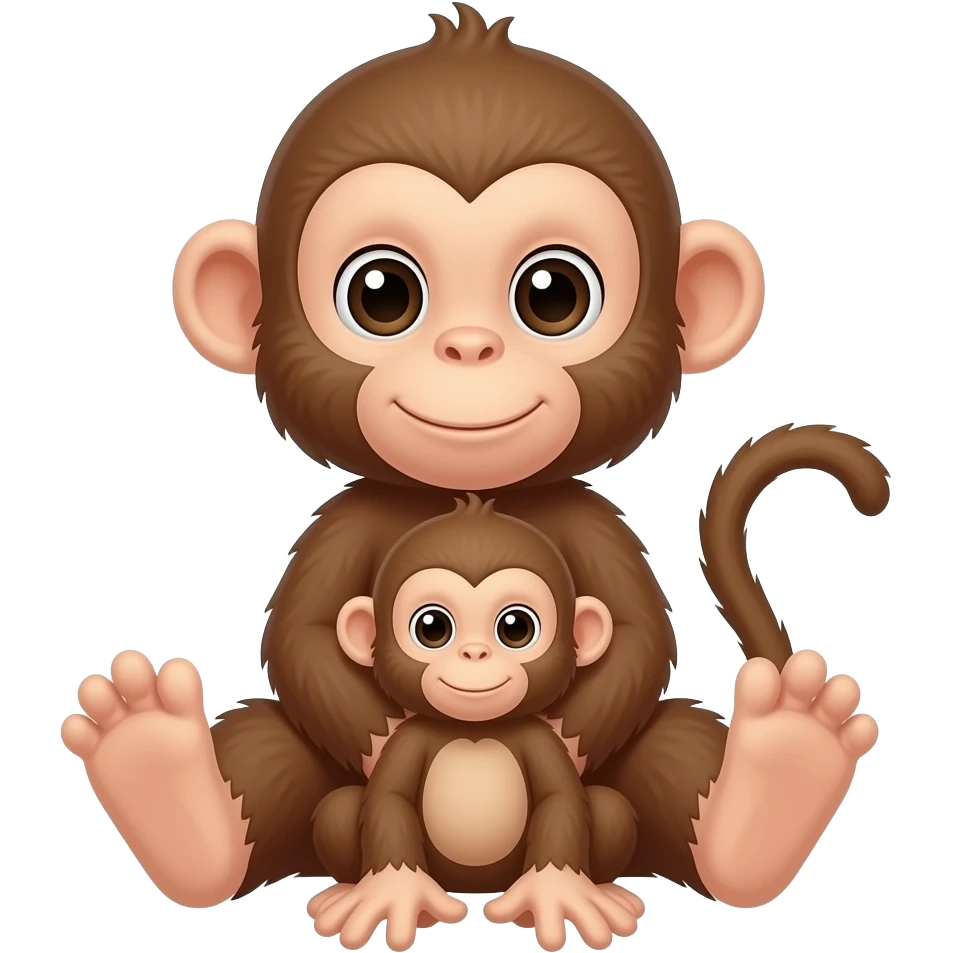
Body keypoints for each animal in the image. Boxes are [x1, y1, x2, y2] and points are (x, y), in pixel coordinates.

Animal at [309, 493, 643, 952]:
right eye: (432, 627)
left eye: (516, 627)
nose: (474, 653)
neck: (474, 730)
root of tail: (475, 887)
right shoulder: (407, 741)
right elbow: (388, 800)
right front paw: (393, 890)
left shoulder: (542, 741)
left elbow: (561, 800)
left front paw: (557, 890)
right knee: (338, 809)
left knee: (610, 809)